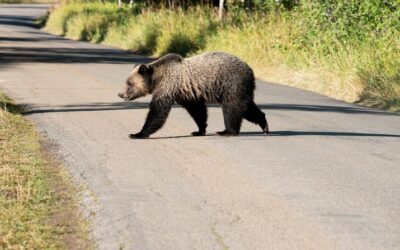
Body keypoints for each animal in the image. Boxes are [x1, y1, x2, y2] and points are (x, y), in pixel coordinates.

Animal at [118, 51, 268, 139]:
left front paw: (137, 133)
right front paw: (199, 130)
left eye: (129, 83)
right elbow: (197, 110)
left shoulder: (168, 86)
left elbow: (158, 112)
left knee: (232, 107)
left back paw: (227, 131)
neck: (157, 78)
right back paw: (264, 125)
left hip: (231, 84)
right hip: (242, 88)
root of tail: (250, 70)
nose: (120, 94)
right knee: (247, 107)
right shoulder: (185, 92)